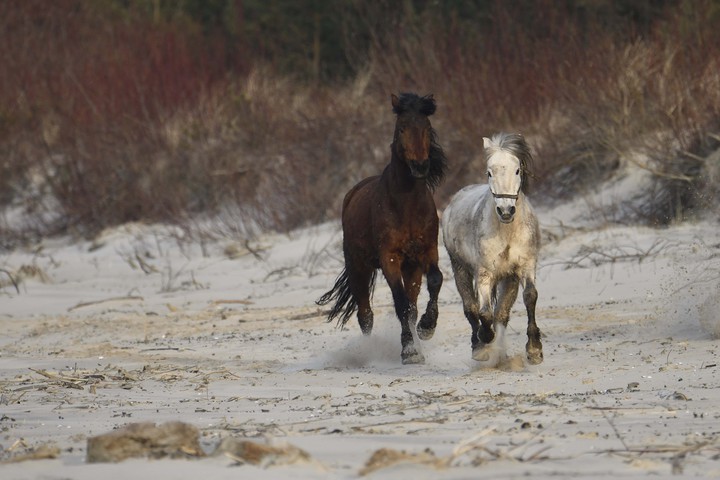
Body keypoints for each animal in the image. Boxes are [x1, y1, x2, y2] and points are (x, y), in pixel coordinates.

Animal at [318, 93, 448, 364]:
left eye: (427, 127)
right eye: (402, 128)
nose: (420, 166)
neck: (407, 203)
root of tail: (351, 194)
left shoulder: (427, 251)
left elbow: (434, 281)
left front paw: (426, 328)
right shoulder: (389, 257)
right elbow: (399, 302)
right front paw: (409, 350)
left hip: (411, 268)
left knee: (411, 304)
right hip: (359, 268)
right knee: (365, 314)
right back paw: (369, 351)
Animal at [442, 133, 544, 366]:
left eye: (517, 170)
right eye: (489, 172)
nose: (506, 210)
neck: (507, 231)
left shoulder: (524, 266)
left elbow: (529, 296)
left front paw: (534, 350)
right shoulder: (484, 274)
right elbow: (484, 313)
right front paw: (485, 339)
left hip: (509, 278)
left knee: (502, 313)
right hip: (460, 268)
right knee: (471, 308)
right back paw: (480, 347)